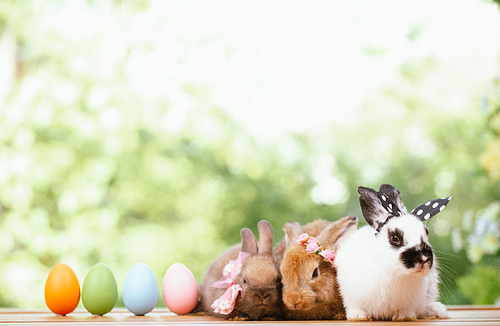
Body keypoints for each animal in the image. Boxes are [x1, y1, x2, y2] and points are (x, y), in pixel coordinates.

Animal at [336, 183, 450, 320]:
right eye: (395, 238)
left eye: (426, 233)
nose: (423, 258)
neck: (394, 273)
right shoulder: (350, 296)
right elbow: (355, 307)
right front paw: (358, 316)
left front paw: (404, 316)